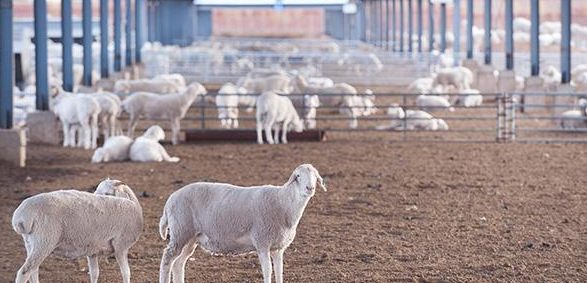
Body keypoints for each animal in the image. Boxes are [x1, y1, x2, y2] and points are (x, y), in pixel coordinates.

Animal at [12, 180, 143, 283]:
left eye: (107, 193)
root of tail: (21, 215)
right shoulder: (120, 246)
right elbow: (126, 272)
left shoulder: (92, 250)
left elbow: (95, 273)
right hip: (45, 240)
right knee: (25, 272)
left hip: (31, 243)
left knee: (33, 271)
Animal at [158, 163, 328, 283]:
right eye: (298, 176)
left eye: (315, 176)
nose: (310, 188)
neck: (283, 203)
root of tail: (171, 199)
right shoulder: (262, 242)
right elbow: (268, 271)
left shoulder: (277, 247)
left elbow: (279, 272)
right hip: (181, 231)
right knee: (167, 259)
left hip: (190, 238)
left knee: (179, 263)